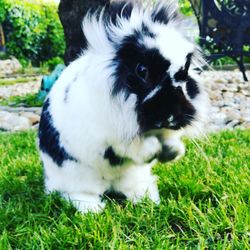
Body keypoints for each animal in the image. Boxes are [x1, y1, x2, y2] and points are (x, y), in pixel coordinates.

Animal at [38, 0, 209, 213]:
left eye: (185, 70)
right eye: (141, 70)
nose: (172, 116)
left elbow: (169, 141)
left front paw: (174, 151)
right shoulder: (110, 139)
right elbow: (133, 148)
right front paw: (154, 149)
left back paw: (147, 200)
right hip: (76, 176)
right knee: (76, 194)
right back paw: (93, 210)